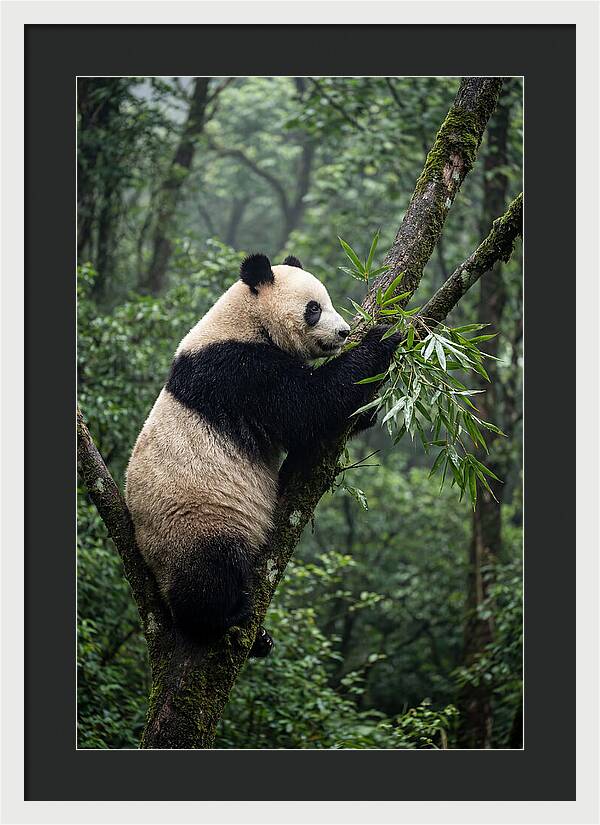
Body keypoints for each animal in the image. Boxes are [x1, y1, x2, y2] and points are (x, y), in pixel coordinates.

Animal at [125, 253, 401, 657]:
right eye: (314, 309)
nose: (344, 332)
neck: (245, 320)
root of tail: (150, 563)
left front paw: (367, 410)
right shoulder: (238, 370)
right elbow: (308, 406)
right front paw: (382, 338)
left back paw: (261, 639)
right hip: (194, 520)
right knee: (209, 572)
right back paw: (223, 617)